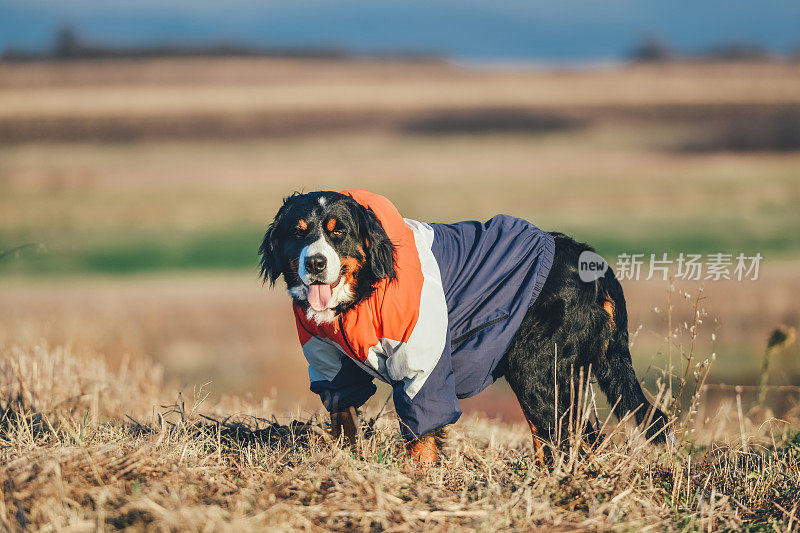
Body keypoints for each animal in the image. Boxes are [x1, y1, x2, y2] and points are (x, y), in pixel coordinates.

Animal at [260, 189, 672, 464]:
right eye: (298, 232)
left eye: (338, 232)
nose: (314, 263)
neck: (362, 294)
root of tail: (594, 264)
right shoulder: (331, 362)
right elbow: (343, 413)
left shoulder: (422, 366)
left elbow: (422, 434)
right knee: (574, 434)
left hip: (534, 366)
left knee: (563, 433)